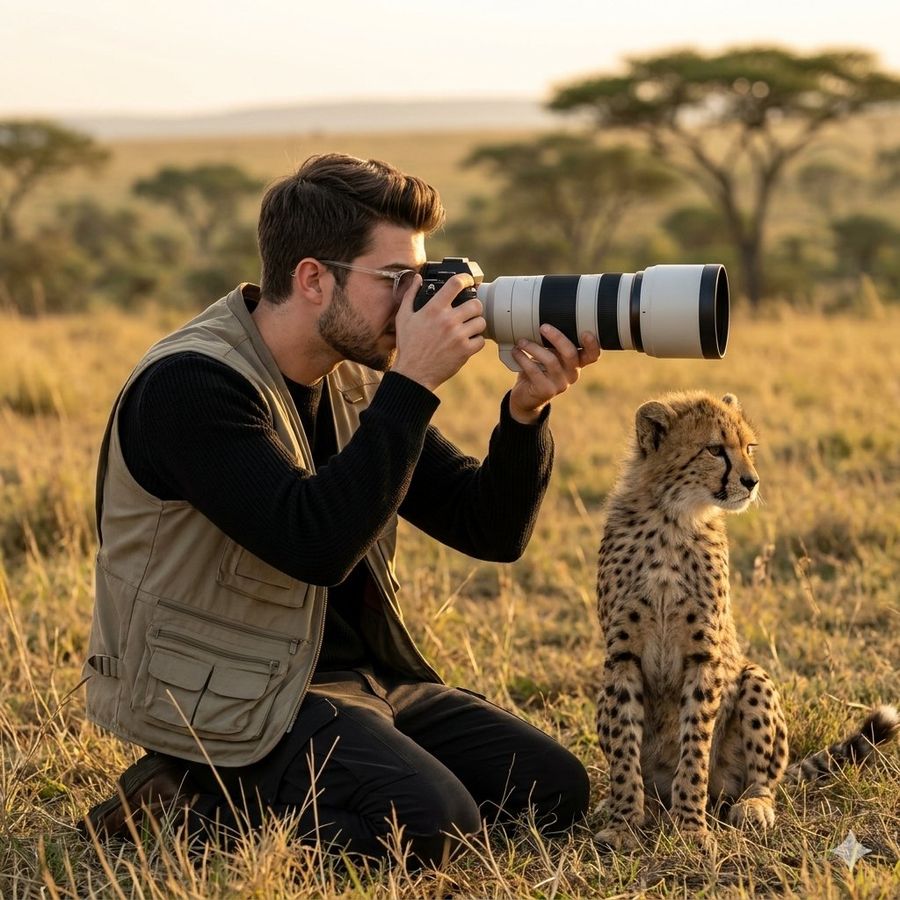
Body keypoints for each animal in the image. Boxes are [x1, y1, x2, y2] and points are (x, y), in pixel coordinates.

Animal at [593, 390, 899, 850]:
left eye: (749, 448)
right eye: (715, 449)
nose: (752, 481)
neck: (672, 520)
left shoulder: (704, 657)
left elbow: (695, 749)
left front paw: (690, 828)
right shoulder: (621, 656)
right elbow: (624, 750)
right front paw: (624, 822)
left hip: (753, 679)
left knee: (763, 779)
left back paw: (752, 806)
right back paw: (640, 805)